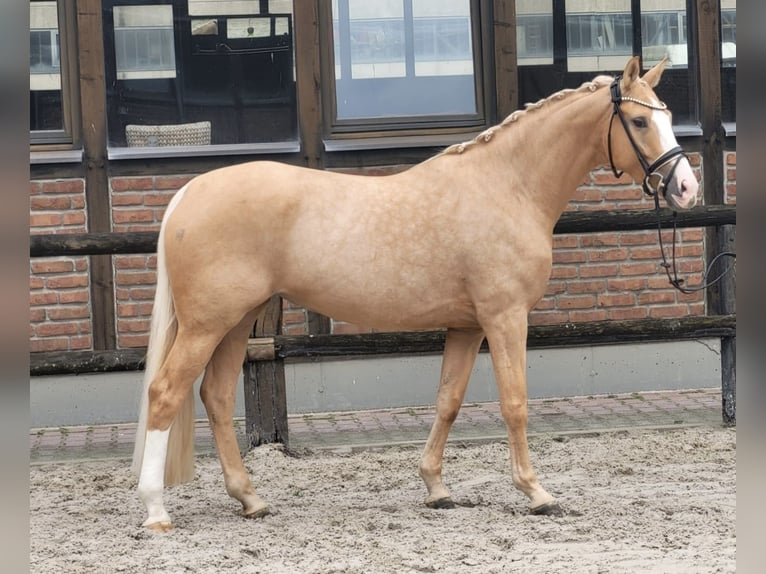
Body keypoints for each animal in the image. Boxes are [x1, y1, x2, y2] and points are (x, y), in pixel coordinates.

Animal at [134, 56, 704, 532]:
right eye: (639, 123)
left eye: (669, 115)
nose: (685, 188)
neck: (507, 185)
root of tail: (190, 191)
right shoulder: (504, 317)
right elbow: (515, 402)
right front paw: (536, 492)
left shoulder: (467, 325)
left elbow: (448, 401)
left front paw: (436, 488)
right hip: (208, 324)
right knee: (165, 393)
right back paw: (157, 511)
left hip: (236, 322)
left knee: (215, 395)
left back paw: (250, 499)